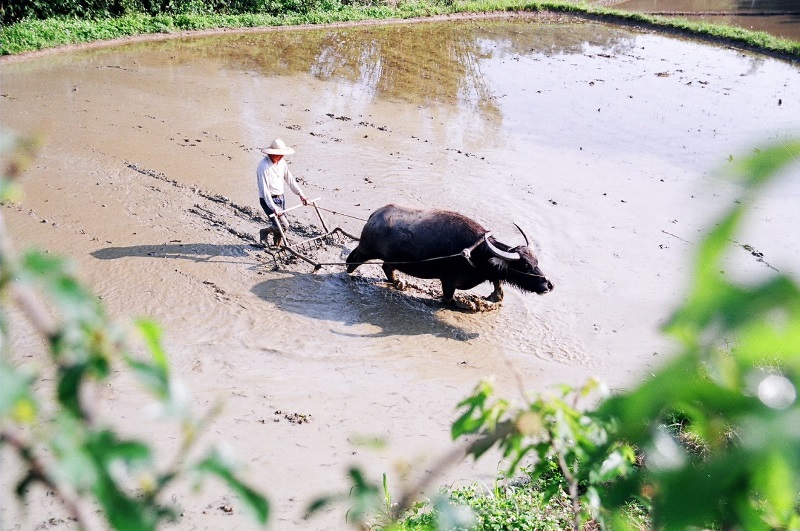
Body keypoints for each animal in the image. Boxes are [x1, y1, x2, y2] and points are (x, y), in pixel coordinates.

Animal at [346, 206, 552, 306]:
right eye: (524, 266)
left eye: (536, 261)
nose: (548, 285)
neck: (477, 253)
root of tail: (374, 215)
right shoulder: (448, 281)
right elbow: (448, 300)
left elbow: (498, 291)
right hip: (365, 250)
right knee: (352, 259)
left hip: (392, 259)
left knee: (387, 267)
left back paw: (398, 282)